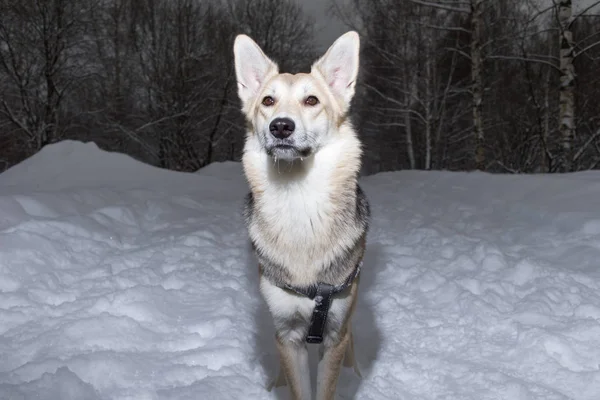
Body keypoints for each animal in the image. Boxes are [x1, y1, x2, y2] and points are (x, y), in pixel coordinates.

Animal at [234, 31, 370, 400]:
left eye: (311, 100)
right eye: (268, 100)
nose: (281, 126)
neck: (300, 203)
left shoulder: (335, 335)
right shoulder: (287, 335)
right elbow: (298, 388)